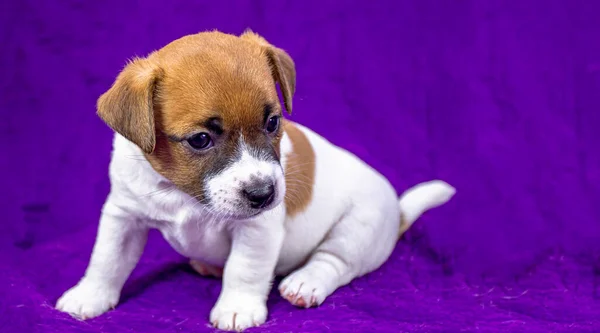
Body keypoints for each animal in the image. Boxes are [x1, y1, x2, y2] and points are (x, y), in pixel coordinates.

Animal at [55, 30, 454, 330]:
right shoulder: (124, 216)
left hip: (357, 229)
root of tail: (397, 212)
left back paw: (305, 282)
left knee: (334, 261)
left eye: (273, 122)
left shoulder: (257, 230)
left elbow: (244, 269)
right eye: (200, 140)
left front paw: (237, 309)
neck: (184, 193)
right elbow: (107, 259)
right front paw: (89, 296)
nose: (264, 194)